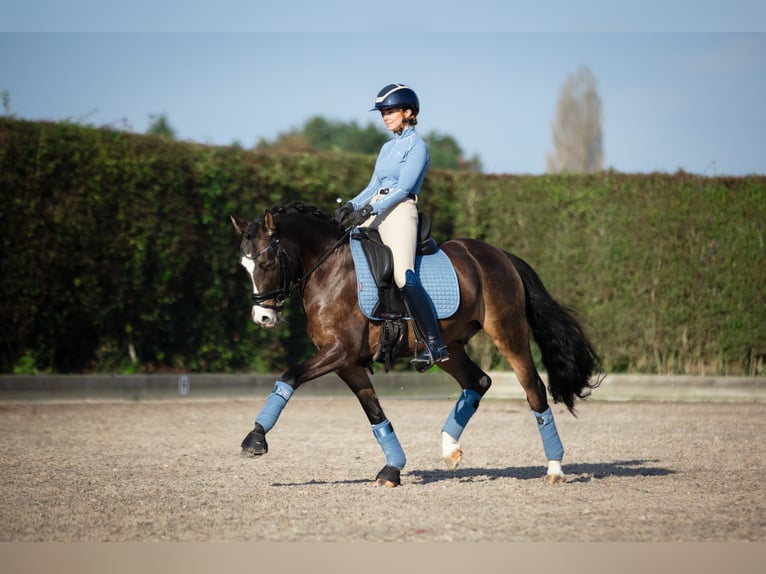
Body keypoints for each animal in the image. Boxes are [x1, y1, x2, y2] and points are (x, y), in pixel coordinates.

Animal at [231, 200, 604, 488]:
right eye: (245, 266)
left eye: (266, 263)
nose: (262, 317)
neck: (328, 268)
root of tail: (498, 254)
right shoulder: (347, 363)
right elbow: (375, 414)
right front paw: (392, 469)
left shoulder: (339, 352)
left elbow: (289, 377)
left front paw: (255, 438)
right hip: (448, 347)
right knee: (478, 381)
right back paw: (449, 449)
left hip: (508, 333)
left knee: (533, 389)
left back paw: (555, 469)